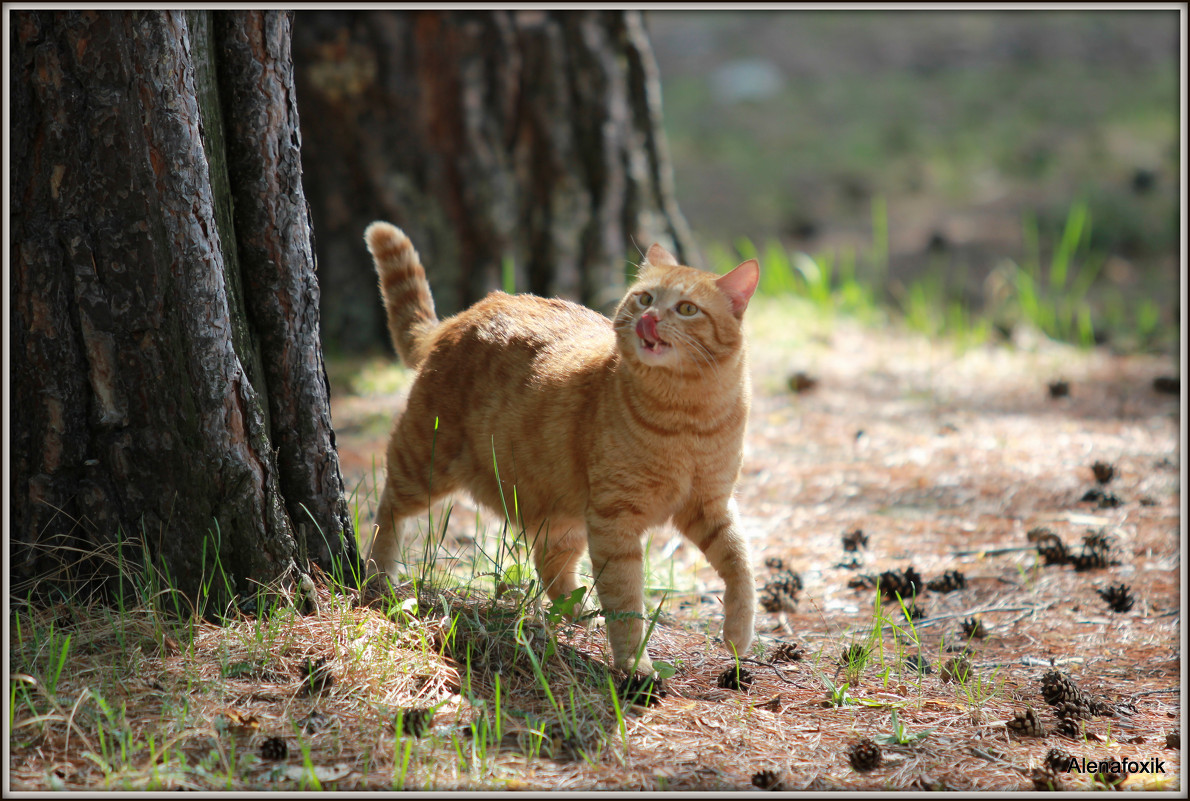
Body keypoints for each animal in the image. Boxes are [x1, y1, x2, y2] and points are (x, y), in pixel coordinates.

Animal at [361, 220, 756, 676]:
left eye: (687, 309)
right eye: (645, 298)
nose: (650, 317)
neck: (688, 419)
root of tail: (462, 315)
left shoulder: (710, 506)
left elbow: (742, 565)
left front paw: (738, 635)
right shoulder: (615, 519)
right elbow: (626, 599)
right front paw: (634, 666)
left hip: (562, 511)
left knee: (549, 562)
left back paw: (578, 612)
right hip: (425, 460)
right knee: (388, 510)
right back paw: (378, 576)